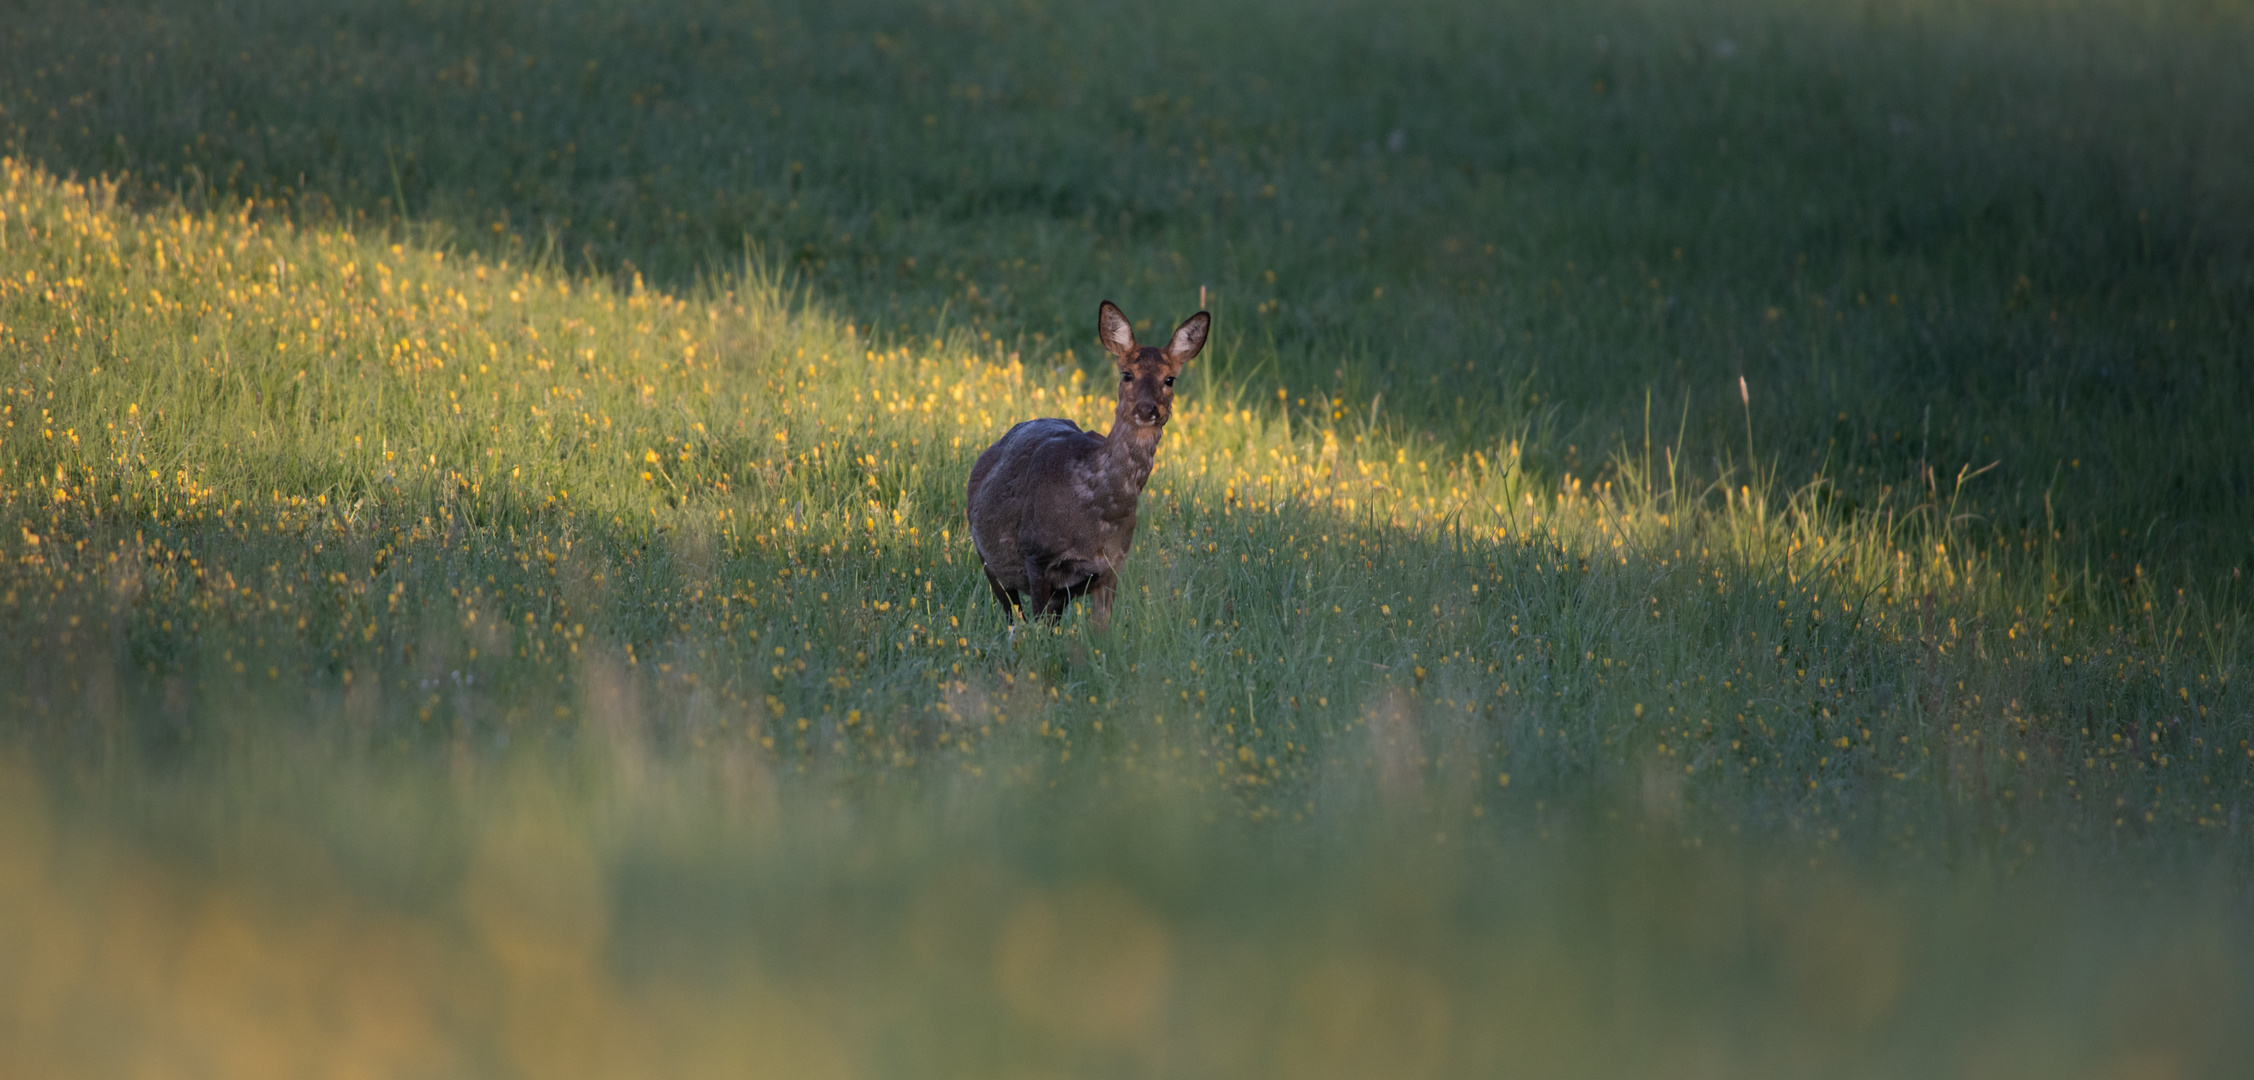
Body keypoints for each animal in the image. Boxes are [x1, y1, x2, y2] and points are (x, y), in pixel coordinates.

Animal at [969, 299, 1217, 631]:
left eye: (1169, 379)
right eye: (1127, 374)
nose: (1147, 409)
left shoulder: (1111, 566)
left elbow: (1101, 631)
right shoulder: (1035, 555)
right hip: (988, 558)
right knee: (1013, 616)